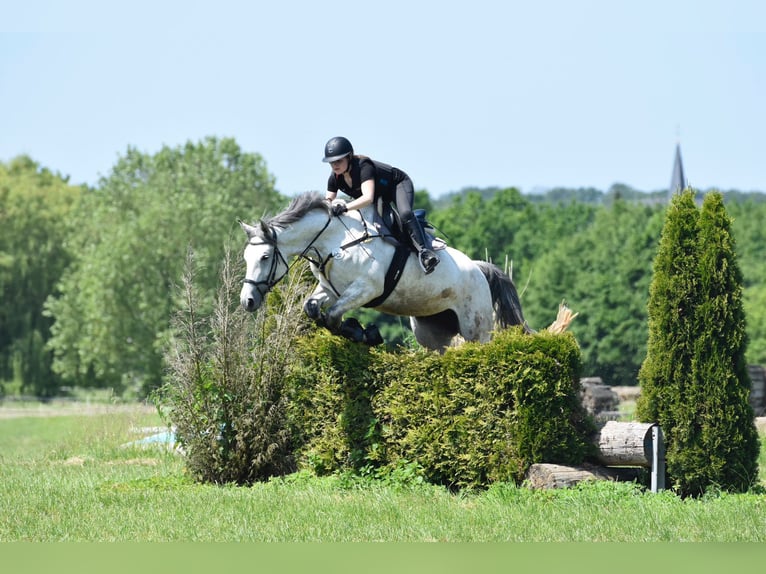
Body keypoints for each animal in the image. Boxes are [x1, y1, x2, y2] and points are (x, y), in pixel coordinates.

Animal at [240, 192, 536, 352]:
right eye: (246, 257)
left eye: (265, 257)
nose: (247, 301)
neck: (336, 241)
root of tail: (478, 268)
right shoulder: (330, 289)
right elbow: (313, 308)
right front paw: (360, 331)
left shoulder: (367, 288)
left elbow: (333, 316)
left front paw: (363, 332)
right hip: (431, 330)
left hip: (477, 330)